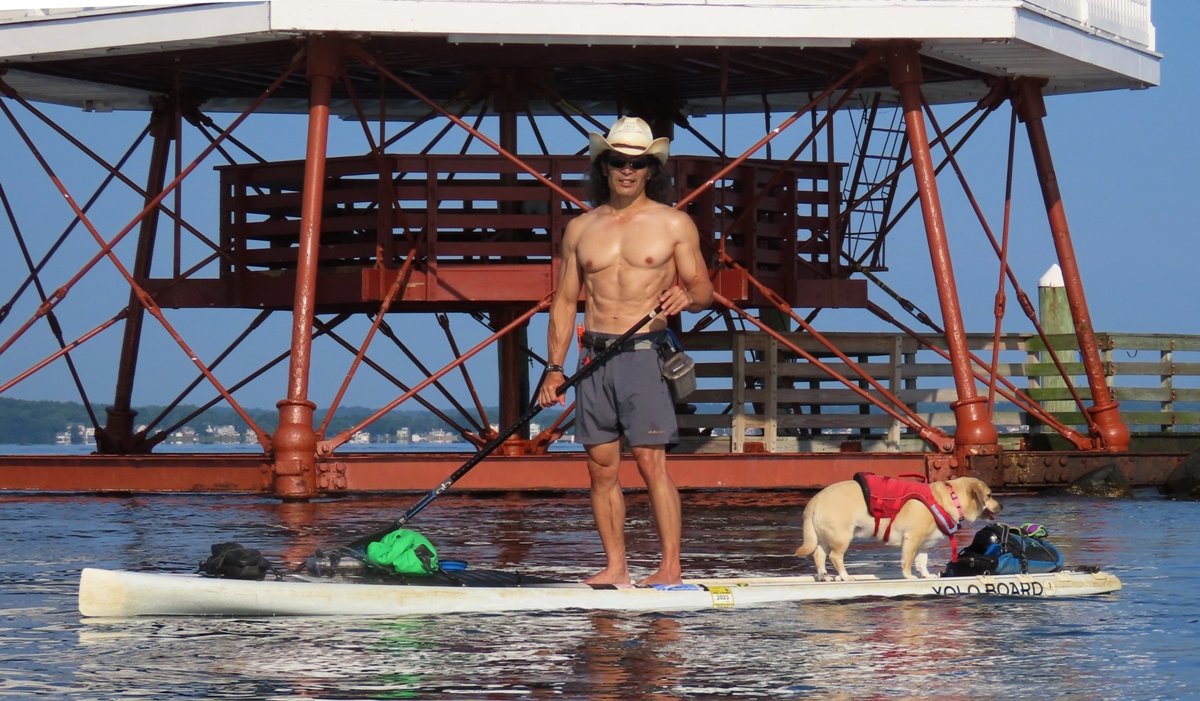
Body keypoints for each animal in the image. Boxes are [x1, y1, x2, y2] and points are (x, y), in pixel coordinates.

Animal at [796, 475, 1003, 580]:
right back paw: (846, 576)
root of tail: (816, 498)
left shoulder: (923, 545)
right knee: (835, 557)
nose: (1001, 506)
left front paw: (926, 576)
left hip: (825, 538)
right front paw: (910, 577)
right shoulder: (911, 540)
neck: (950, 498)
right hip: (842, 538)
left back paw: (823, 576)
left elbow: (921, 562)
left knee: (818, 555)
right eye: (989, 495)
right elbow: (907, 562)